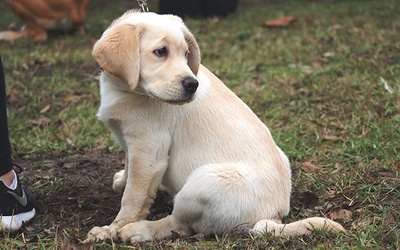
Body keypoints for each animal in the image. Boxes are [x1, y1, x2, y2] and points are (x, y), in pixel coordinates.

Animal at [86, 10, 344, 243]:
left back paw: (139, 230)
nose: (192, 85)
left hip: (201, 184)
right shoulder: (132, 143)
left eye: (186, 54)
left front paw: (113, 229)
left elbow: (133, 197)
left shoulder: (149, 151)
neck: (126, 90)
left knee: (181, 225)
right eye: (160, 52)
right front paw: (121, 180)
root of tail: (274, 215)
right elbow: (129, 167)